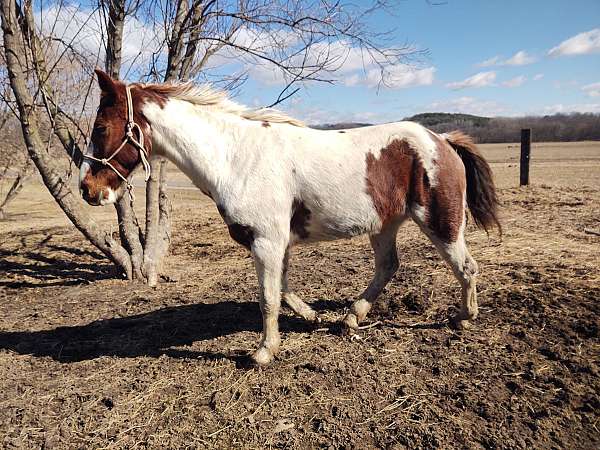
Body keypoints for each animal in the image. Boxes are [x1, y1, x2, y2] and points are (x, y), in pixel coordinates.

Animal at [81, 69, 502, 366]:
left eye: (100, 127)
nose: (88, 189)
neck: (235, 157)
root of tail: (442, 140)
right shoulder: (275, 243)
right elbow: (281, 289)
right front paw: (311, 317)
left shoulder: (266, 242)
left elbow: (268, 297)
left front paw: (263, 352)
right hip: (385, 224)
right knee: (387, 267)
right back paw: (350, 318)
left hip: (440, 222)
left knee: (466, 267)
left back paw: (464, 317)